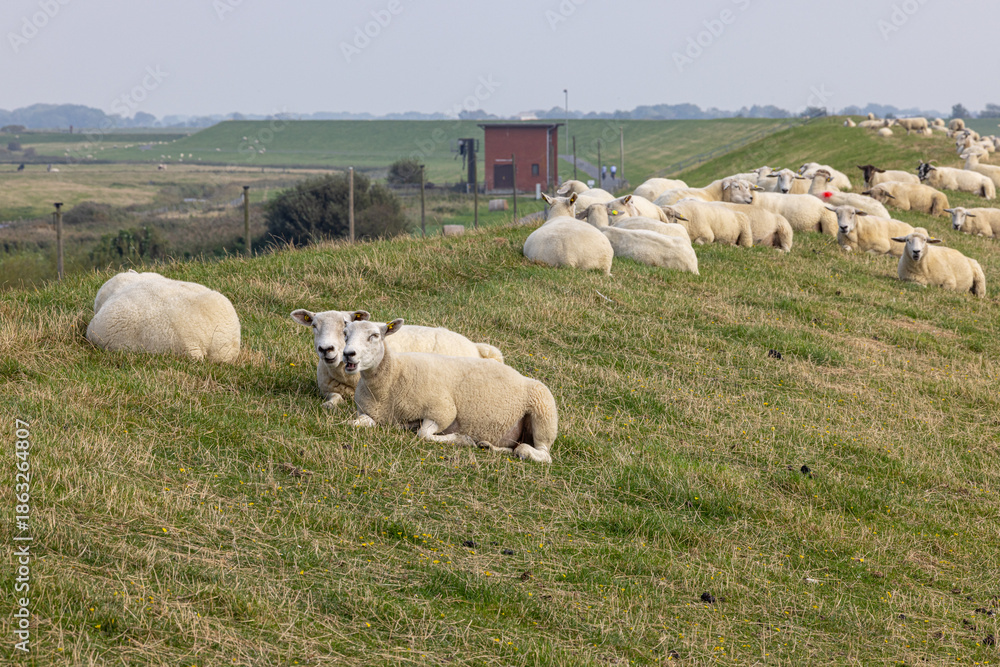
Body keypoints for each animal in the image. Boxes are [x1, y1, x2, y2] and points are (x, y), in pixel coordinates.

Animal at [291, 309, 503, 409]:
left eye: (344, 325)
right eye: (314, 325)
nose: (326, 349)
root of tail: (476, 347)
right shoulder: (327, 389)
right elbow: (334, 398)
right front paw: (330, 405)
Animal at [344, 318, 558, 462]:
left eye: (374, 336)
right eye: (345, 334)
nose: (348, 354)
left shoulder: (442, 411)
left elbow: (423, 434)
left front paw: (462, 439)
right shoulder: (366, 412)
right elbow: (356, 424)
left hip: (543, 413)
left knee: (542, 453)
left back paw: (523, 451)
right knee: (514, 446)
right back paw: (488, 445)